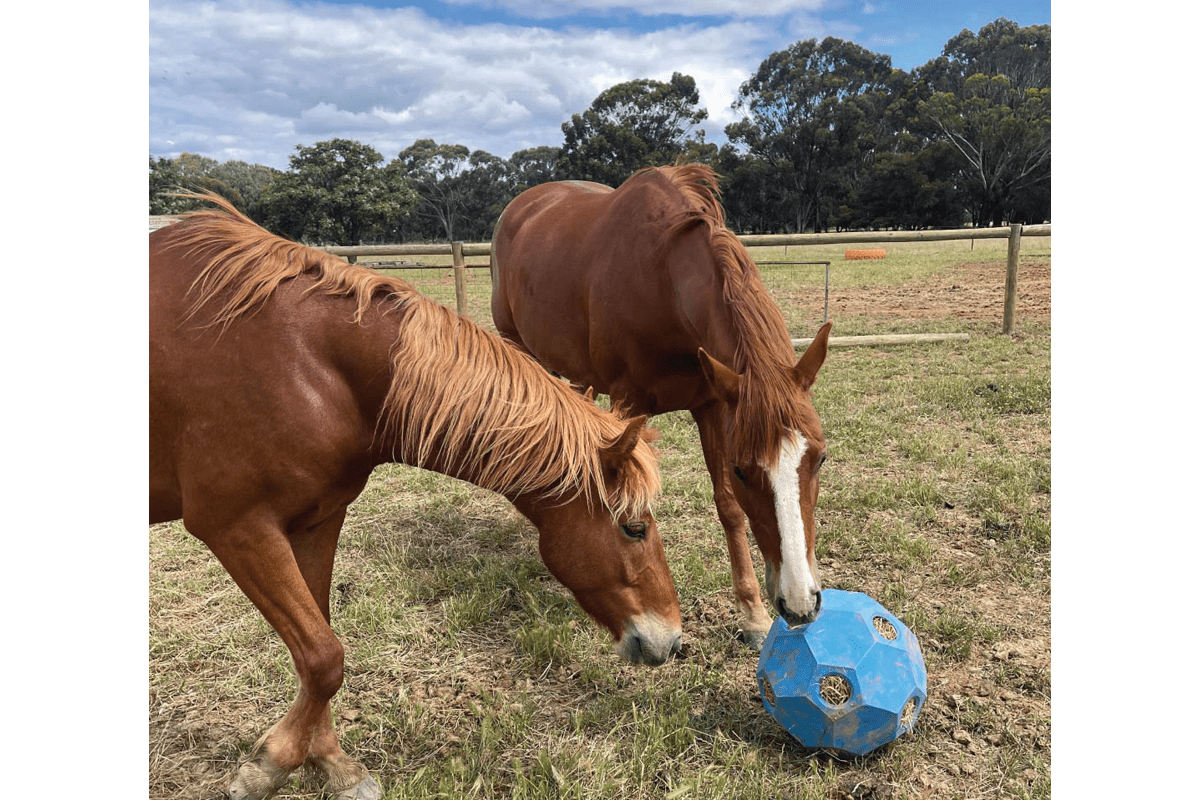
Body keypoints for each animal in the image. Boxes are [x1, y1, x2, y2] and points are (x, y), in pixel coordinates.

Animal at [150, 195, 681, 800]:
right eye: (634, 528)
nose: (674, 641)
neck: (310, 364)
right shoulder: (238, 529)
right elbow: (324, 655)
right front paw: (268, 767)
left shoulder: (316, 522)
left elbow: (317, 650)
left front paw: (329, 762)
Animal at [491, 164, 832, 648]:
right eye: (743, 469)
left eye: (820, 458)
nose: (800, 604)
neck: (662, 280)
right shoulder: (628, 403)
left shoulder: (712, 405)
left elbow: (728, 508)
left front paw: (752, 615)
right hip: (517, 347)